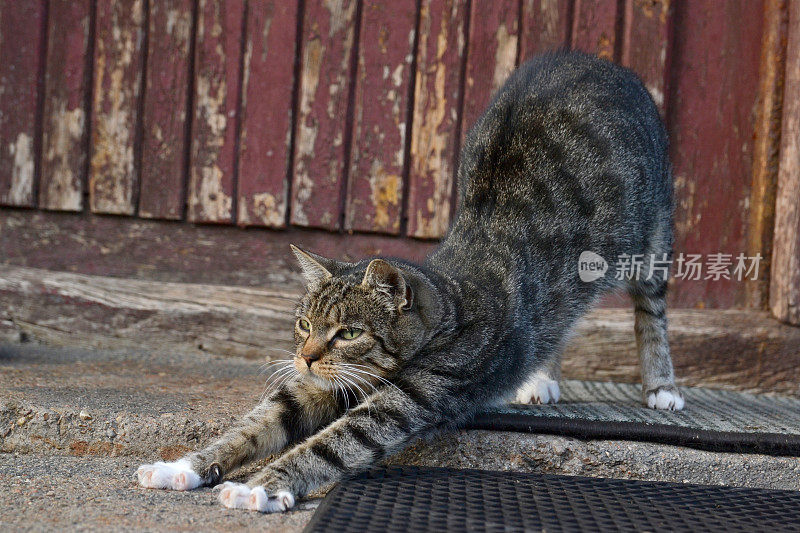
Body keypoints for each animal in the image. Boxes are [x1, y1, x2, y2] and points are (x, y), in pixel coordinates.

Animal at [136, 51, 680, 512]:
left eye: (349, 333)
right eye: (303, 325)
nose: (305, 357)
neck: (448, 307)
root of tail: (593, 59)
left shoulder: (410, 398)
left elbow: (334, 445)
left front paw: (262, 487)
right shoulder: (319, 387)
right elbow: (257, 424)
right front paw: (181, 467)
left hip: (651, 235)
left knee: (650, 309)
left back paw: (662, 387)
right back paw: (540, 378)